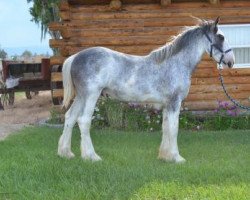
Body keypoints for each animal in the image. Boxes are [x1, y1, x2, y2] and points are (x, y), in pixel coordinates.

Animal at [58, 17, 234, 162]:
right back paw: (91, 156)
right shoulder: (174, 103)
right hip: (91, 96)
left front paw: (165, 156)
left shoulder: (166, 105)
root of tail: (75, 57)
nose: (231, 61)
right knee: (83, 120)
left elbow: (165, 127)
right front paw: (176, 157)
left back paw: (66, 153)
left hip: (81, 96)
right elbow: (174, 128)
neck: (176, 63)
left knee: (70, 118)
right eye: (221, 37)